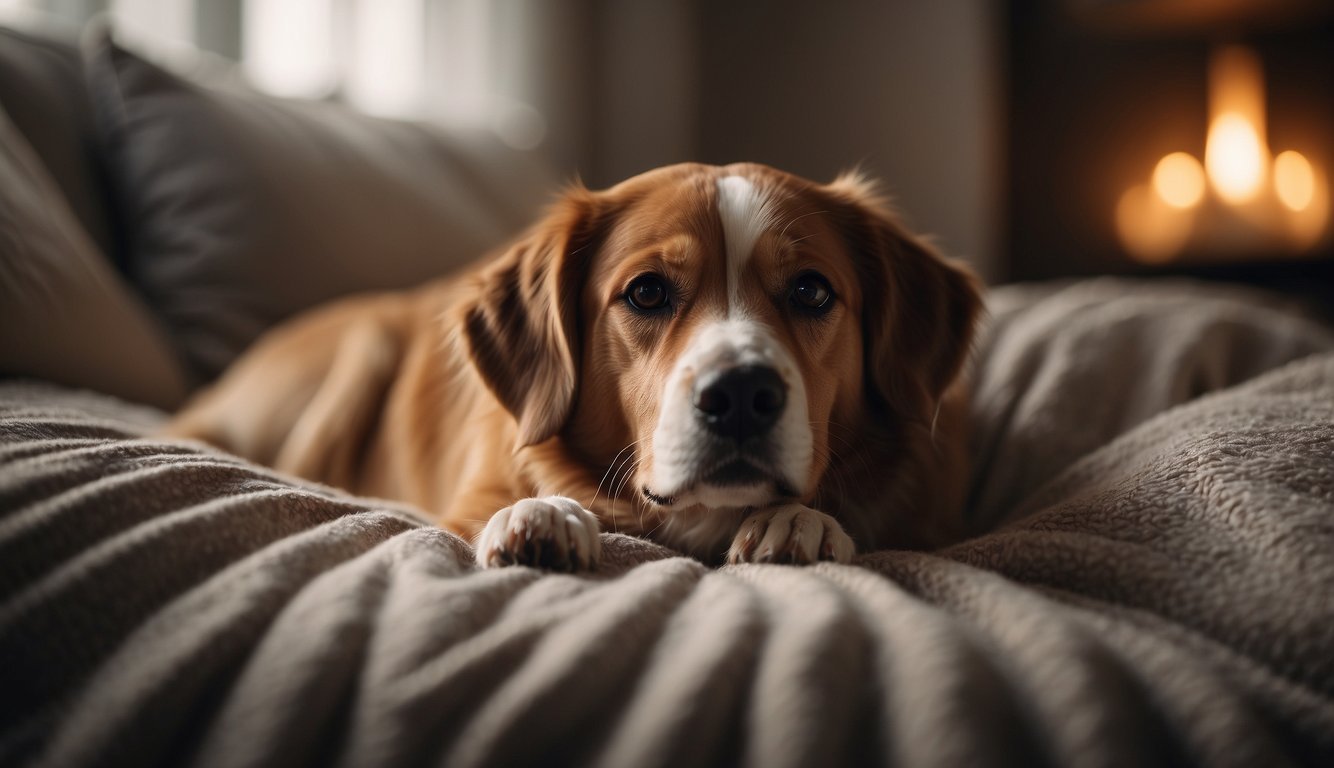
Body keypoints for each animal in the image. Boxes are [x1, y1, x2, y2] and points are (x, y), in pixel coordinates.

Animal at [164, 162, 981, 570]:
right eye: (646, 292)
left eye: (811, 291)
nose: (743, 394)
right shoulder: (467, 499)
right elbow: (518, 501)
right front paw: (544, 514)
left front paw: (798, 520)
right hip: (364, 347)